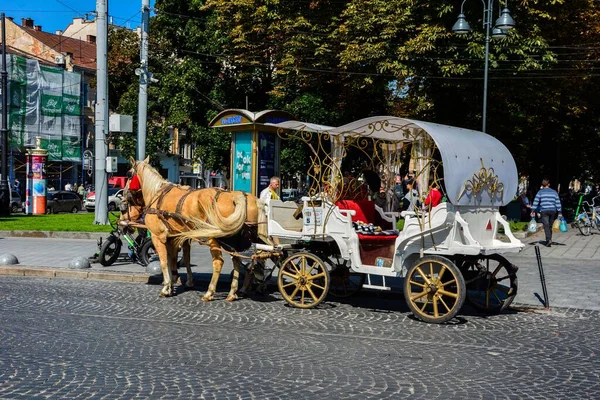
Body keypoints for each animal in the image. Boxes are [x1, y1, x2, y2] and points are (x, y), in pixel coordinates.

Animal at [132, 156, 270, 300]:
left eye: (129, 174)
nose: (125, 202)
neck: (157, 194)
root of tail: (236, 197)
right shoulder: (175, 237)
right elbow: (178, 259)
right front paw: (177, 282)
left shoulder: (158, 236)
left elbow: (164, 261)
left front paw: (166, 287)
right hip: (236, 239)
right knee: (243, 259)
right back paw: (235, 292)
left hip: (215, 237)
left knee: (220, 262)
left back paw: (210, 292)